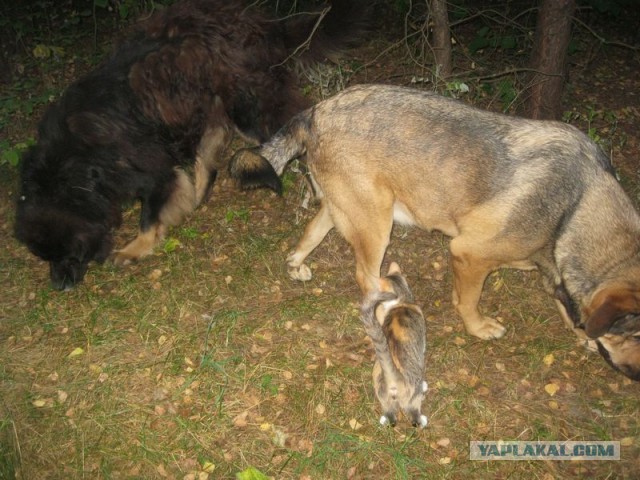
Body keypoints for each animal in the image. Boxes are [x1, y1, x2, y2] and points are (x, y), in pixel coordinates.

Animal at [15, 0, 364, 288]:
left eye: (66, 252)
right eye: (45, 256)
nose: (58, 286)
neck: (73, 164)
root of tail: (259, 23)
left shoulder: (150, 168)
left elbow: (149, 217)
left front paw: (134, 249)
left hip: (248, 106)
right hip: (210, 110)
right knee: (208, 166)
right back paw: (197, 197)